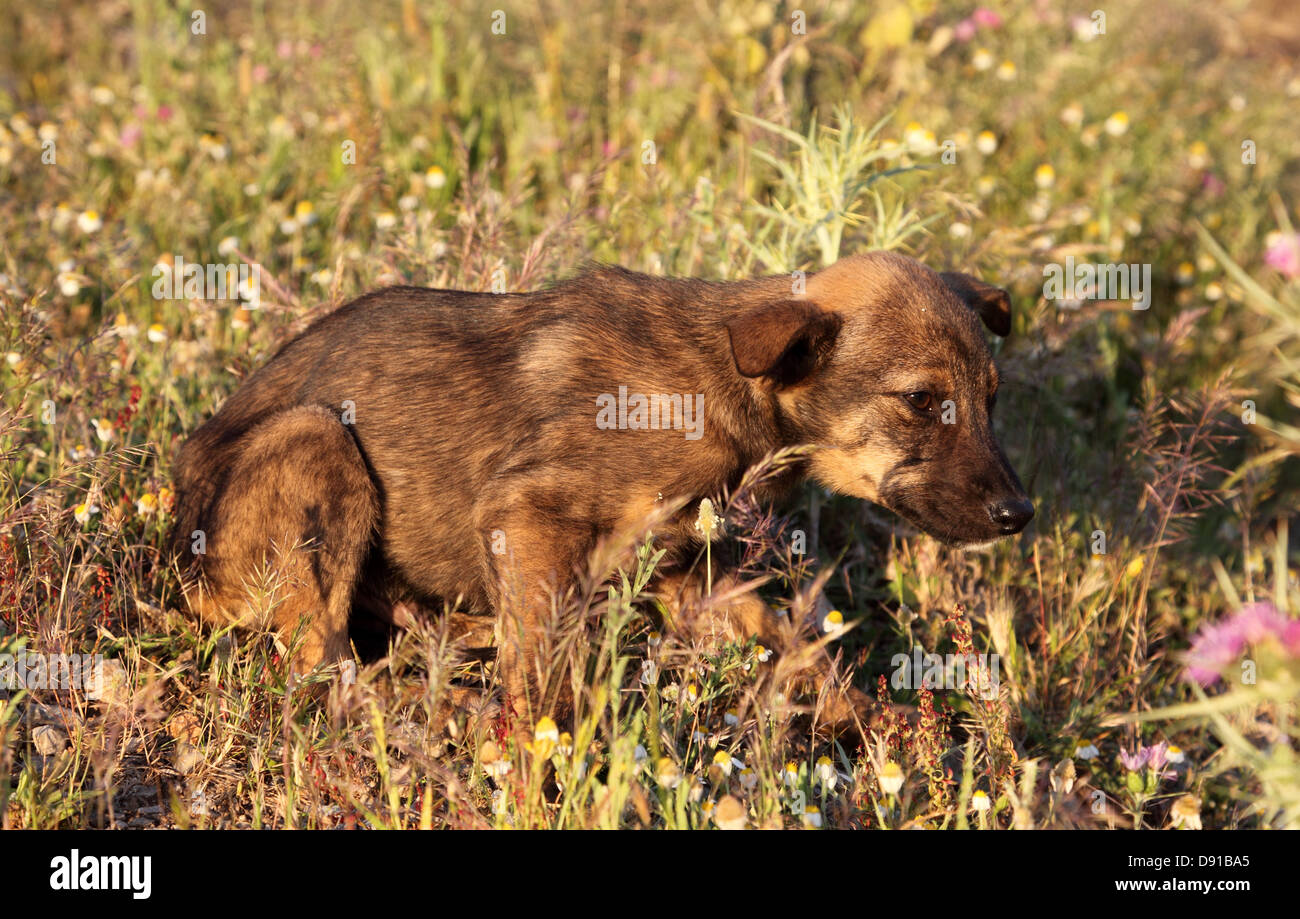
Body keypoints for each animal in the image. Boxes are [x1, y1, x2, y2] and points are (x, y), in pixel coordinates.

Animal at [172, 252, 1029, 727]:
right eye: (921, 399)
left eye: (993, 399)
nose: (1019, 515)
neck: (727, 384)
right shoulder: (525, 509)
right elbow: (545, 679)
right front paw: (542, 765)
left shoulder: (688, 569)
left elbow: (797, 643)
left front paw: (879, 725)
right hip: (315, 435)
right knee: (324, 668)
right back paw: (444, 705)